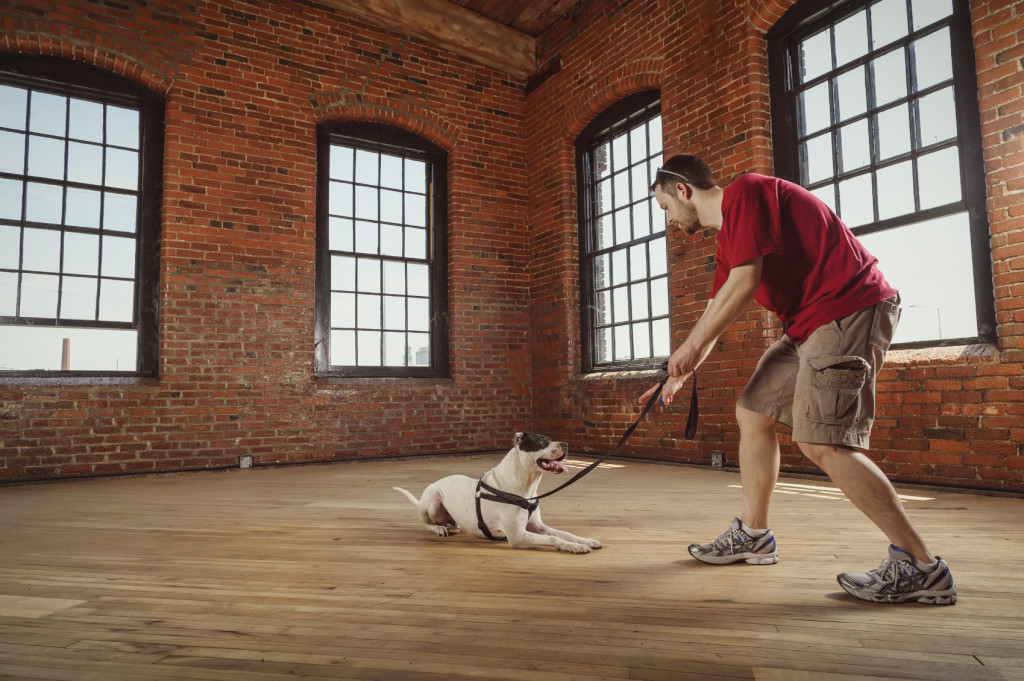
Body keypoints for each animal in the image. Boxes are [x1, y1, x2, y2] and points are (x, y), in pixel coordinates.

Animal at [389, 436, 598, 552]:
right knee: (428, 523)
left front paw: (584, 541)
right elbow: (554, 538)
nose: (566, 444)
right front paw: (575, 547)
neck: (525, 486)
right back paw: (439, 529)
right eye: (541, 442)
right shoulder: (517, 535)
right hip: (433, 500)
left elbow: (564, 533)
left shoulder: (538, 526)